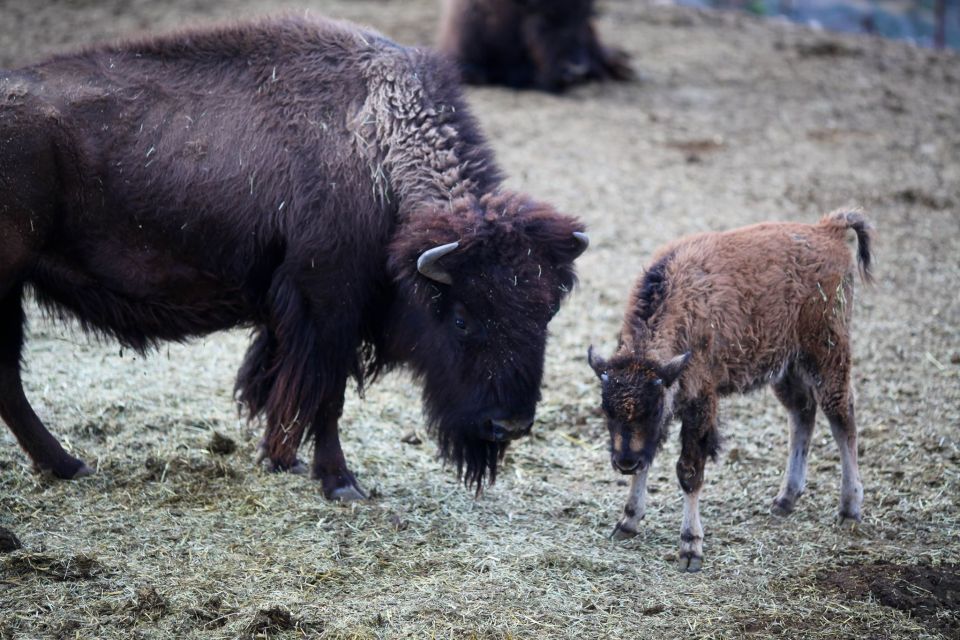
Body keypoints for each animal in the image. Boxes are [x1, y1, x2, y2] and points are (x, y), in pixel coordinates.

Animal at [0, 12, 584, 498]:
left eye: (547, 312)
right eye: (462, 318)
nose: (509, 425)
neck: (378, 141)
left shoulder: (295, 312)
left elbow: (278, 384)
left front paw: (283, 461)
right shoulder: (328, 305)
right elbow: (324, 398)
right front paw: (340, 483)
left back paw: (65, 465)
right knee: (10, 378)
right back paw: (67, 465)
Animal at [588, 212, 872, 572]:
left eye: (652, 408)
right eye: (605, 409)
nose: (624, 462)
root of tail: (828, 229)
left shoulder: (700, 403)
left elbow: (689, 470)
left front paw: (690, 548)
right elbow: (650, 458)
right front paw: (627, 522)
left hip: (826, 354)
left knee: (841, 417)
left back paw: (849, 510)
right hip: (786, 367)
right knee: (802, 414)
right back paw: (785, 500)